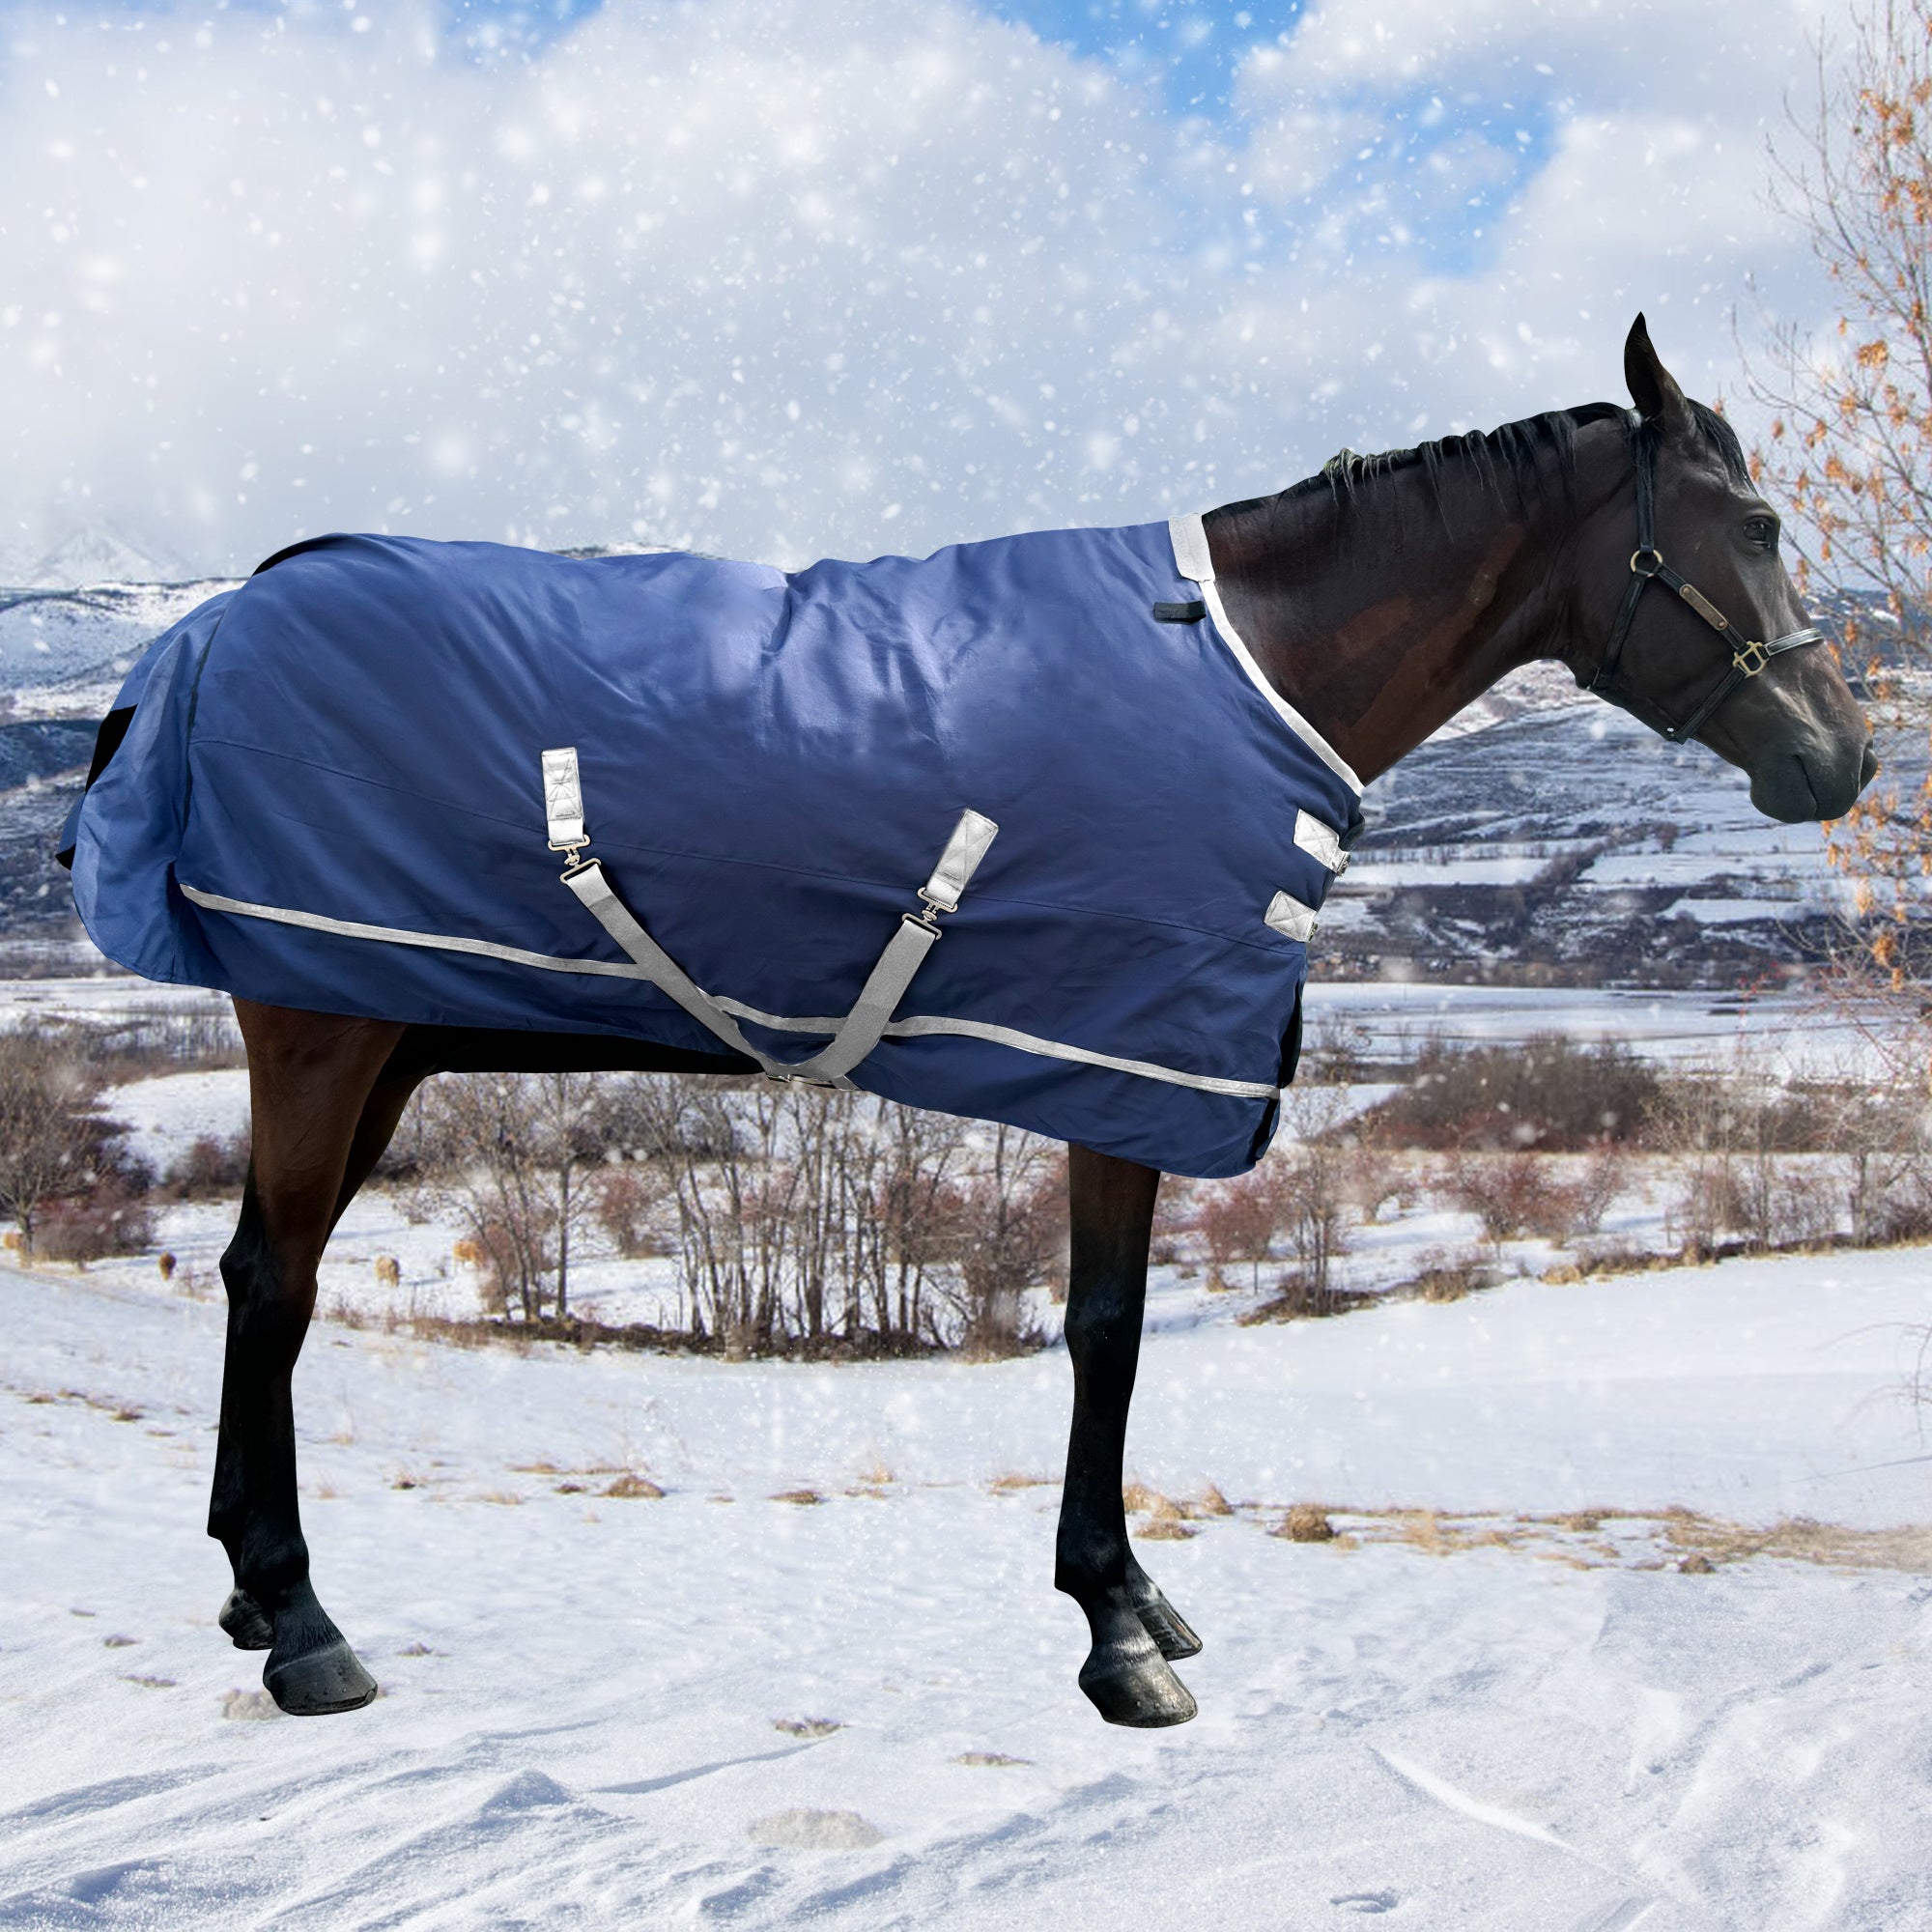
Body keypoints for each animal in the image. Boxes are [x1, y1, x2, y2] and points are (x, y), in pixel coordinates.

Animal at [63, 316, 1873, 1729]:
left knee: (262, 1274)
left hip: (383, 1036)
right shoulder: (1126, 1067)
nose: (1841, 760)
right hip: (321, 1033)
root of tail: (212, 628)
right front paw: (1118, 1630)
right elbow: (1109, 1332)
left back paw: (253, 1595)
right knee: (274, 1288)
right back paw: (305, 1628)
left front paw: (1135, 1599)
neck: (1260, 670)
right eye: (1757, 520)